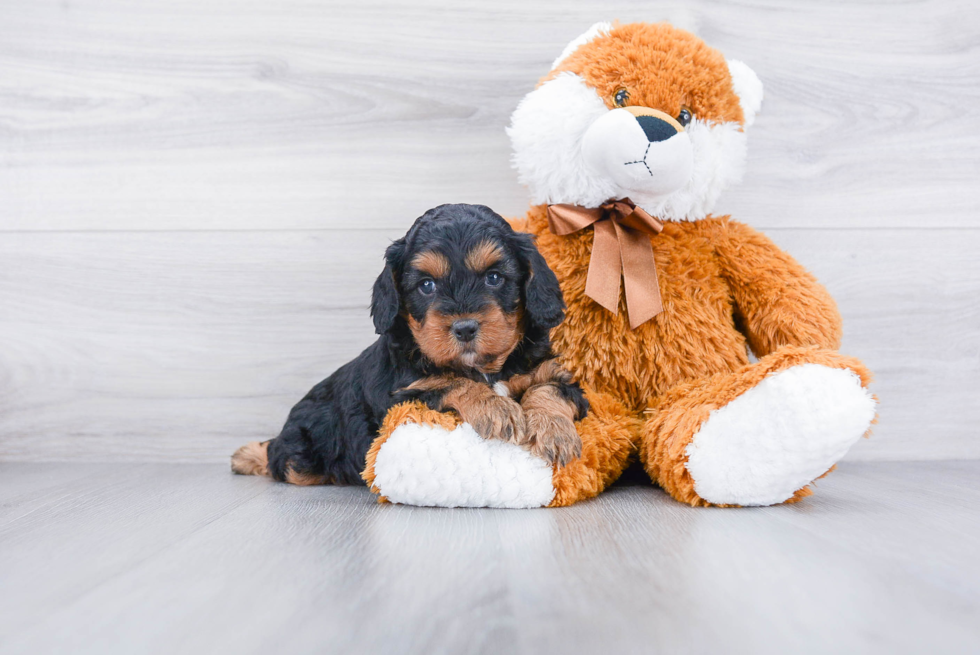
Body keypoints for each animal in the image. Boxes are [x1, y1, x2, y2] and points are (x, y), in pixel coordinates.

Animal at [234, 205, 584, 486]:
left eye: (494, 278)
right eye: (426, 285)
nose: (464, 328)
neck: (486, 368)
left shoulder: (559, 378)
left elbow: (548, 388)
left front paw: (554, 431)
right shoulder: (400, 398)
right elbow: (449, 381)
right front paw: (495, 407)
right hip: (305, 449)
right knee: (280, 457)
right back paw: (248, 455)